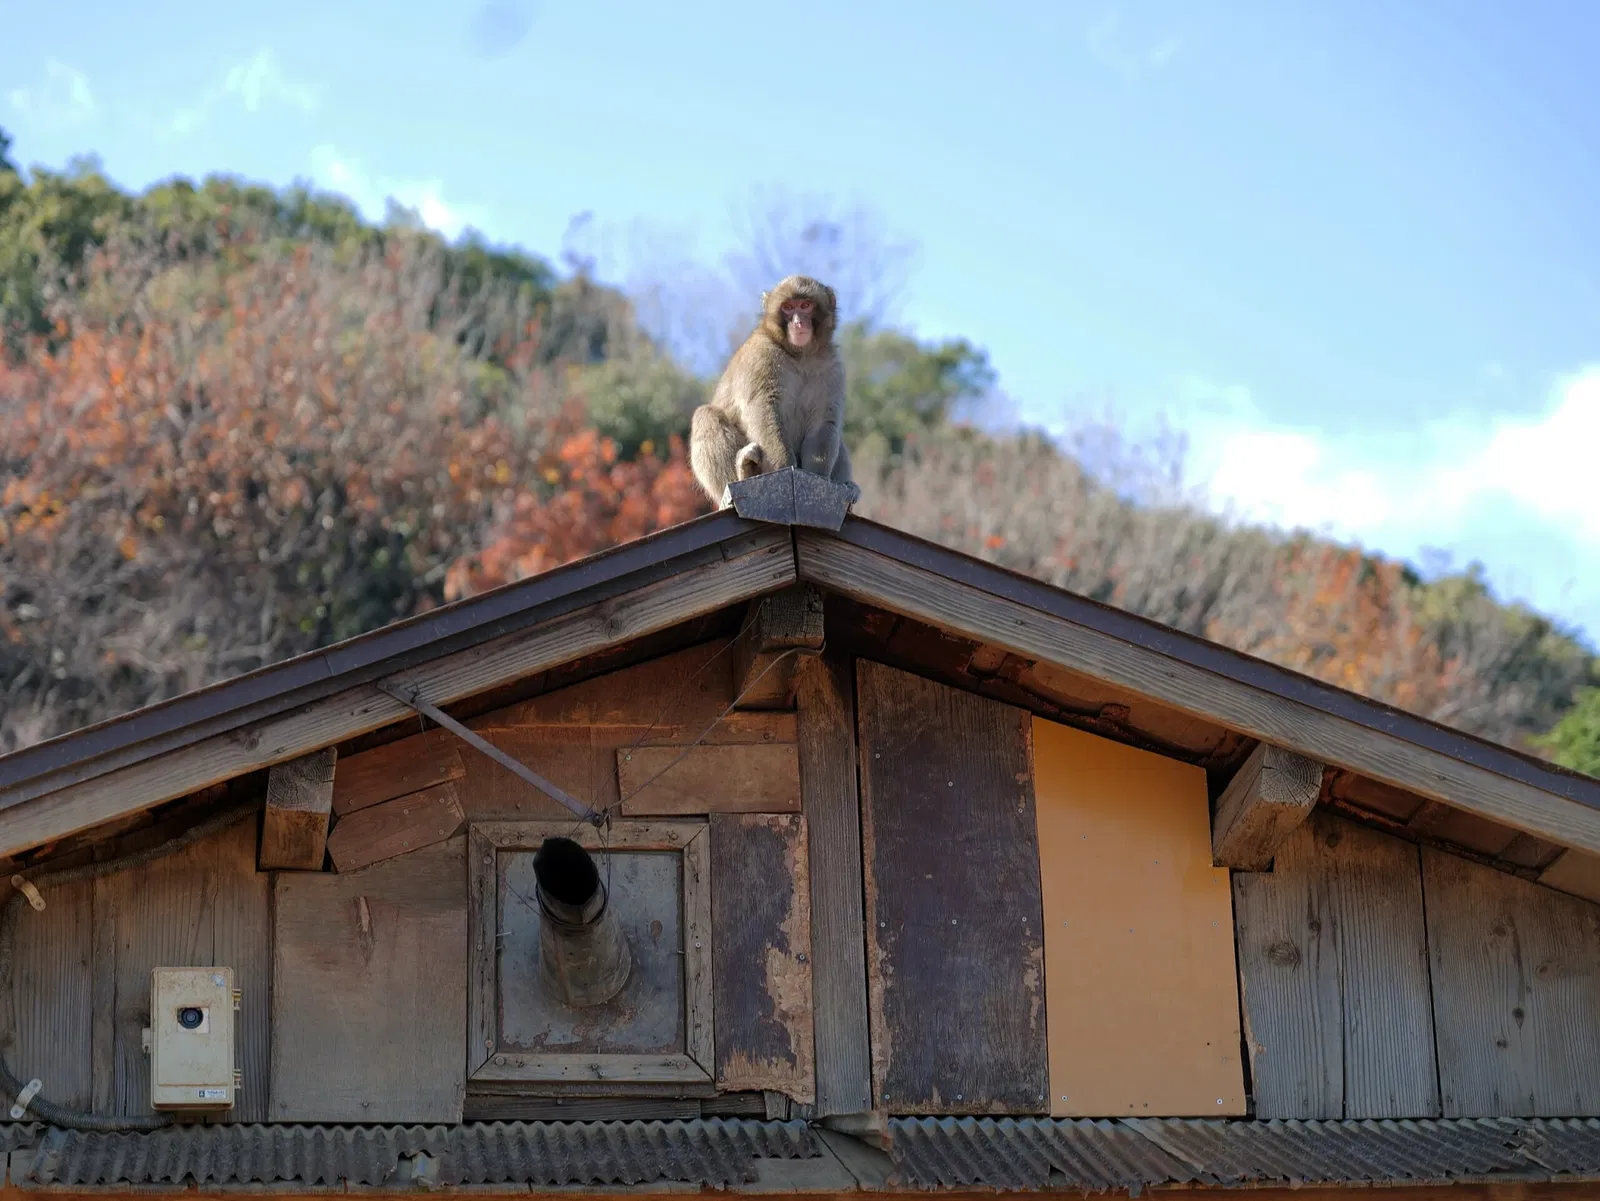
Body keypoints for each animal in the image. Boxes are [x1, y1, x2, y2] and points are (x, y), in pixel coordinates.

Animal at [689, 274, 860, 508]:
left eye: (805, 305)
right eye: (788, 307)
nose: (798, 322)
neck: (800, 355)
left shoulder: (832, 366)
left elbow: (824, 422)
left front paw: (818, 485)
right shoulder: (761, 356)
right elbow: (762, 410)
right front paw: (783, 470)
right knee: (705, 416)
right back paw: (744, 471)